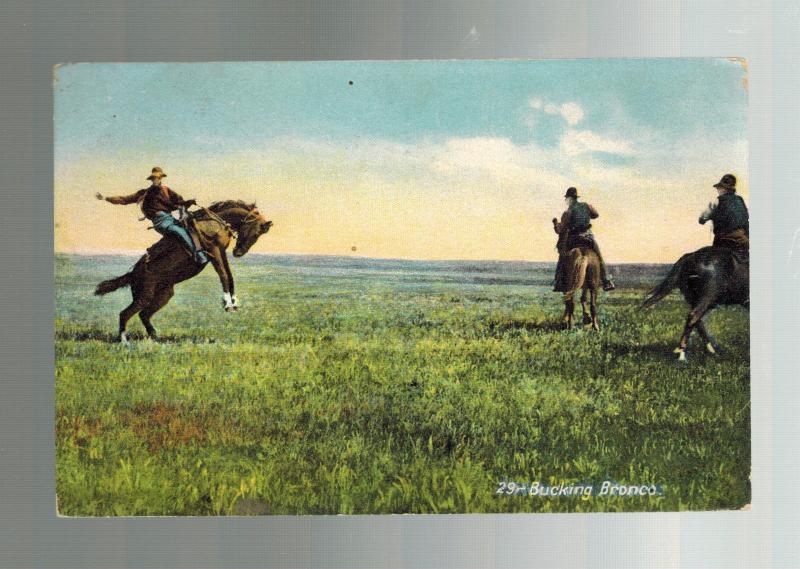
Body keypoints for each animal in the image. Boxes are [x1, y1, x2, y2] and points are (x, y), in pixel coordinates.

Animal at [95, 200, 272, 342]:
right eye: (256, 232)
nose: (238, 252)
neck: (214, 222)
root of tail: (132, 274)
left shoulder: (221, 252)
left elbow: (229, 275)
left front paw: (234, 302)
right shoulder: (214, 250)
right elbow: (223, 274)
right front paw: (228, 303)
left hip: (163, 295)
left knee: (143, 314)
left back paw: (155, 337)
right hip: (144, 296)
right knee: (125, 314)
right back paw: (124, 340)